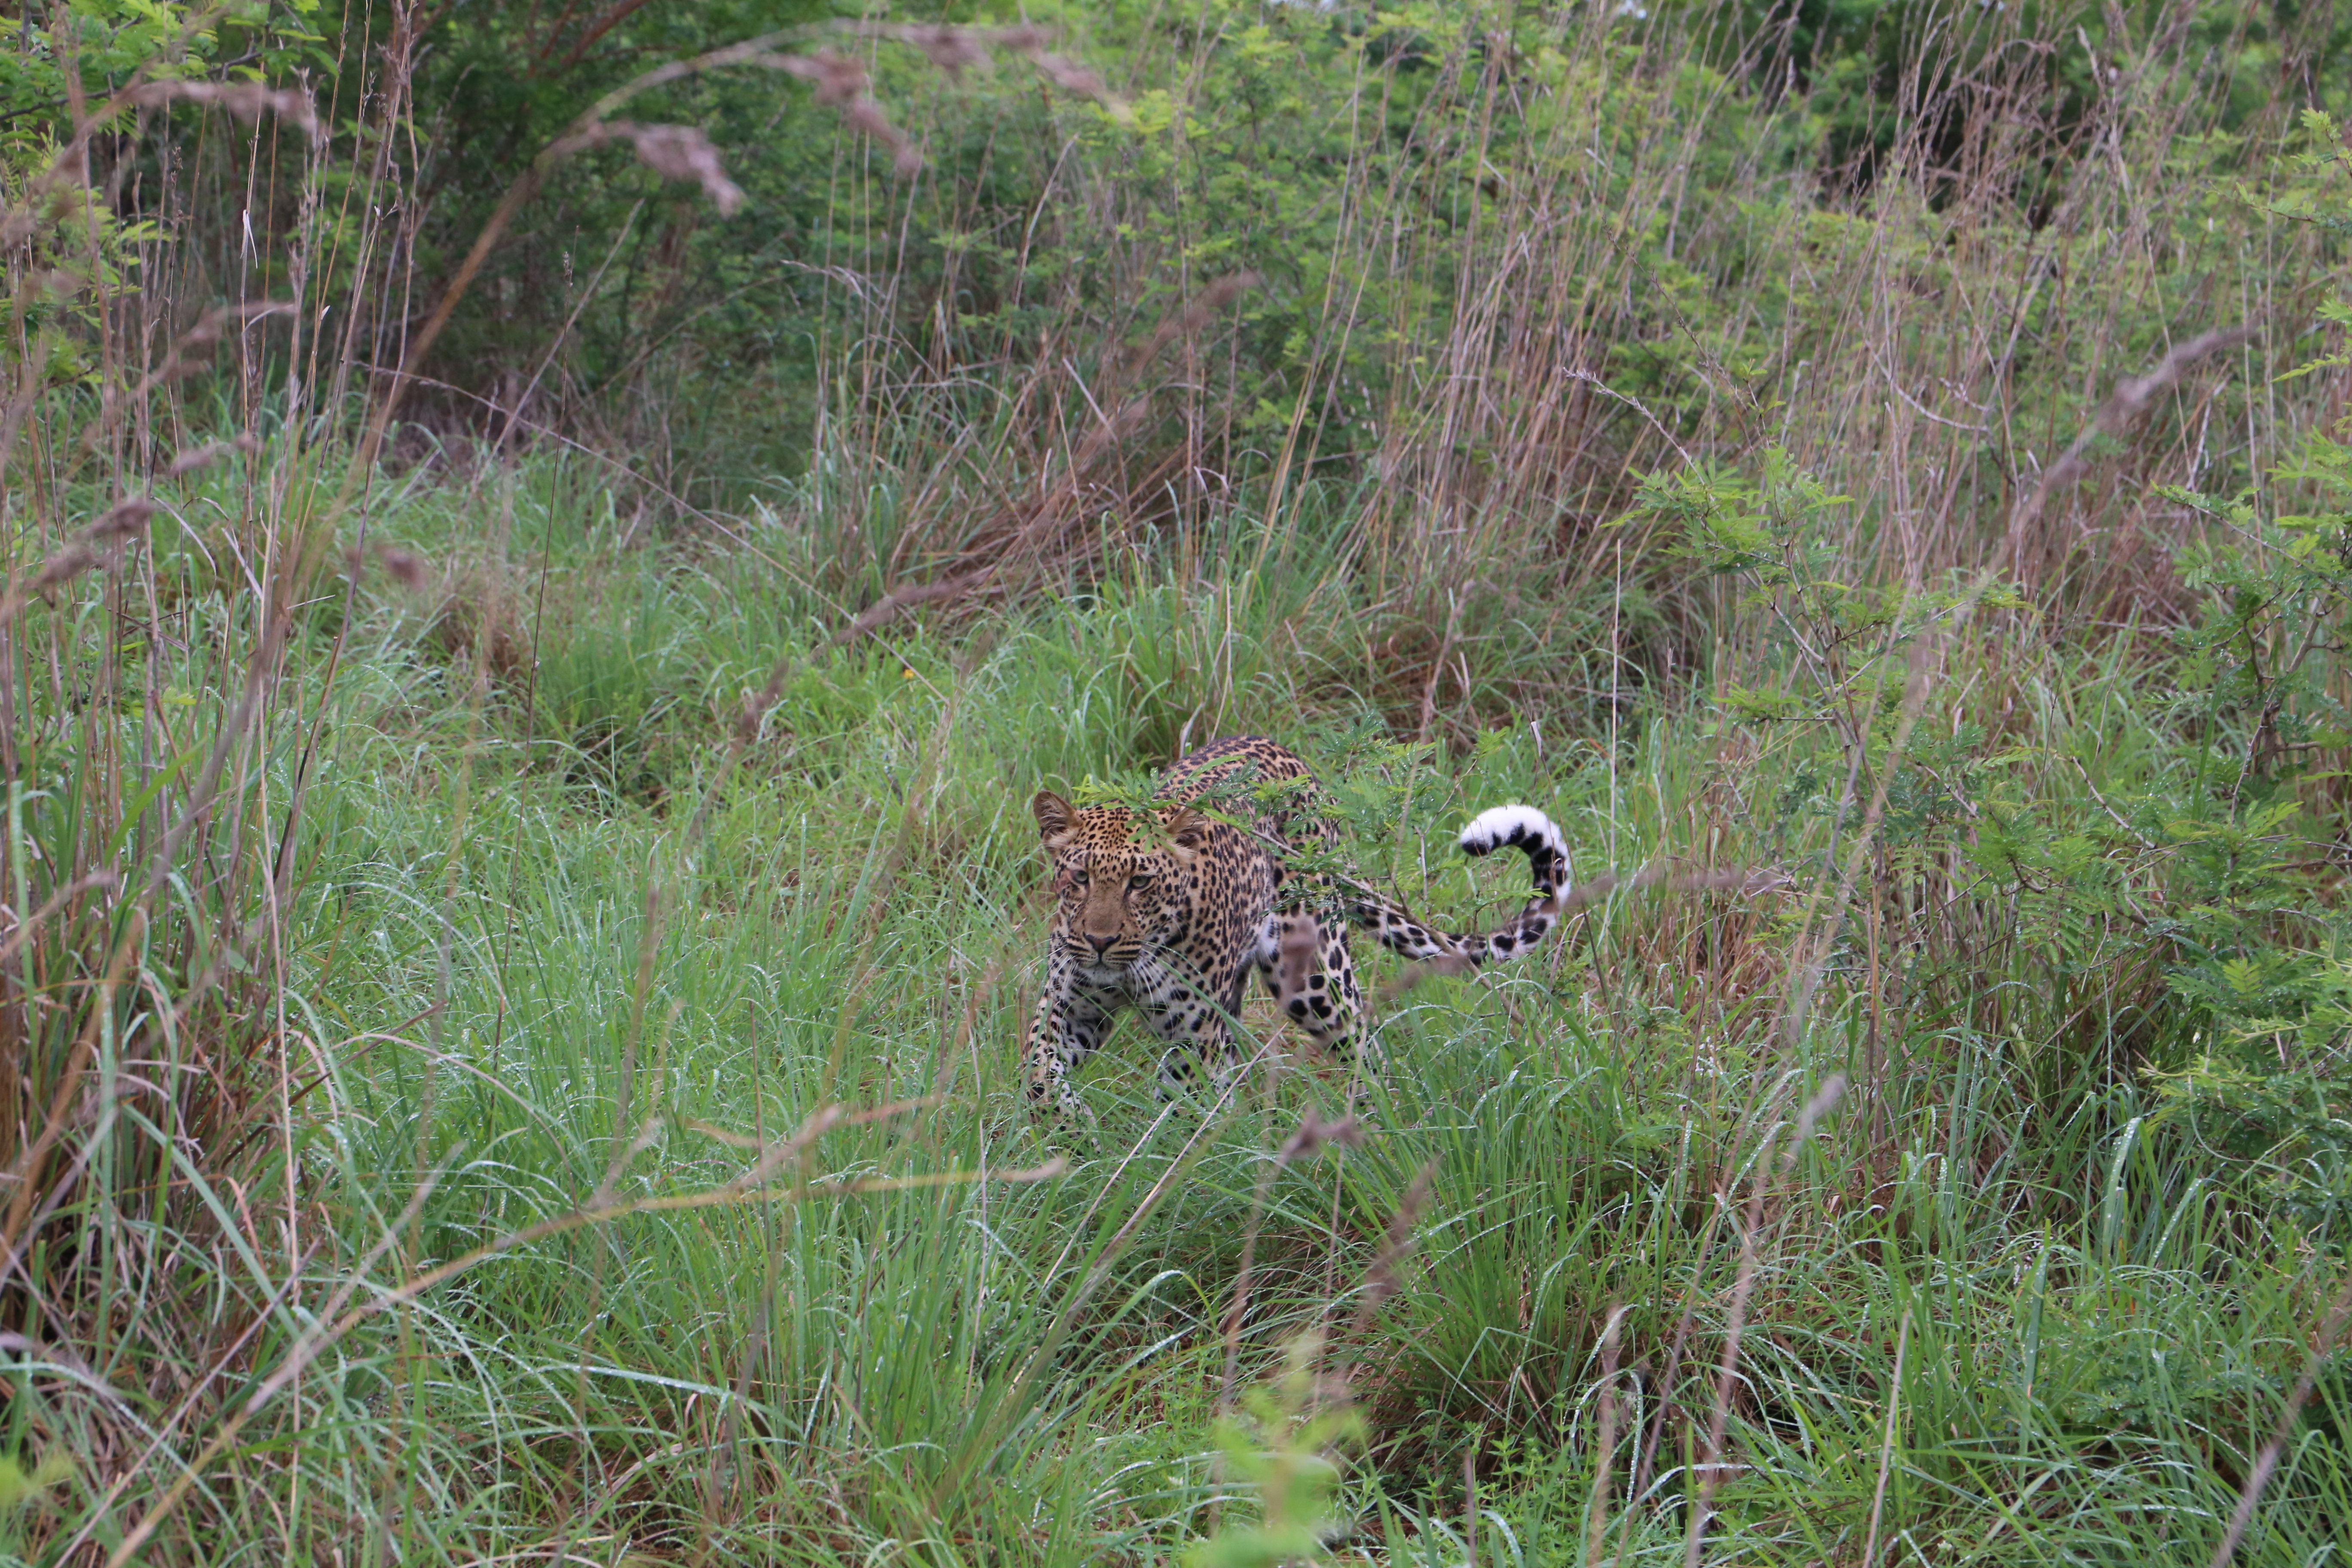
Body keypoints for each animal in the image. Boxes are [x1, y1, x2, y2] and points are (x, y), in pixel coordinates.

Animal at [1025, 738, 1562, 1114]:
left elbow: (1178, 1107)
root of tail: (1297, 762)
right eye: (1080, 878)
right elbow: (1038, 1071)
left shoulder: (1193, 1037)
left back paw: (1379, 1125)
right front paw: (1071, 1134)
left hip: (1314, 979)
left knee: (1365, 1046)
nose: (1099, 941)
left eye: (1140, 882)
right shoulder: (1071, 1008)